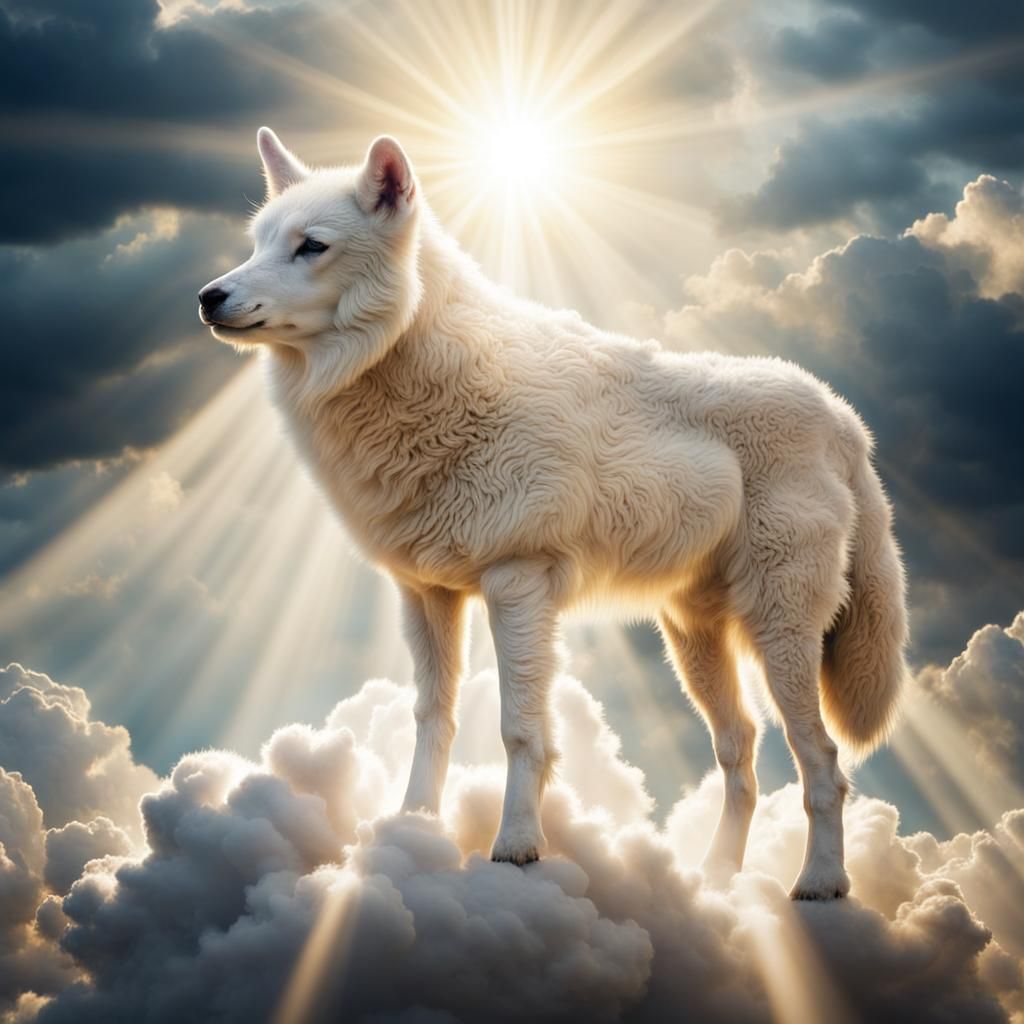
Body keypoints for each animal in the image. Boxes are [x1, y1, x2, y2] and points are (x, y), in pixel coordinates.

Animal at [199, 128, 908, 899]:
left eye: (311, 246)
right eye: (258, 243)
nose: (209, 296)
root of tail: (845, 418)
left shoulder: (518, 583)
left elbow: (519, 728)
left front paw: (515, 846)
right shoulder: (425, 594)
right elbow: (432, 717)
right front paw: (411, 830)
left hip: (778, 631)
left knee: (823, 763)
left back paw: (821, 882)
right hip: (693, 638)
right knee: (740, 750)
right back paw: (714, 878)